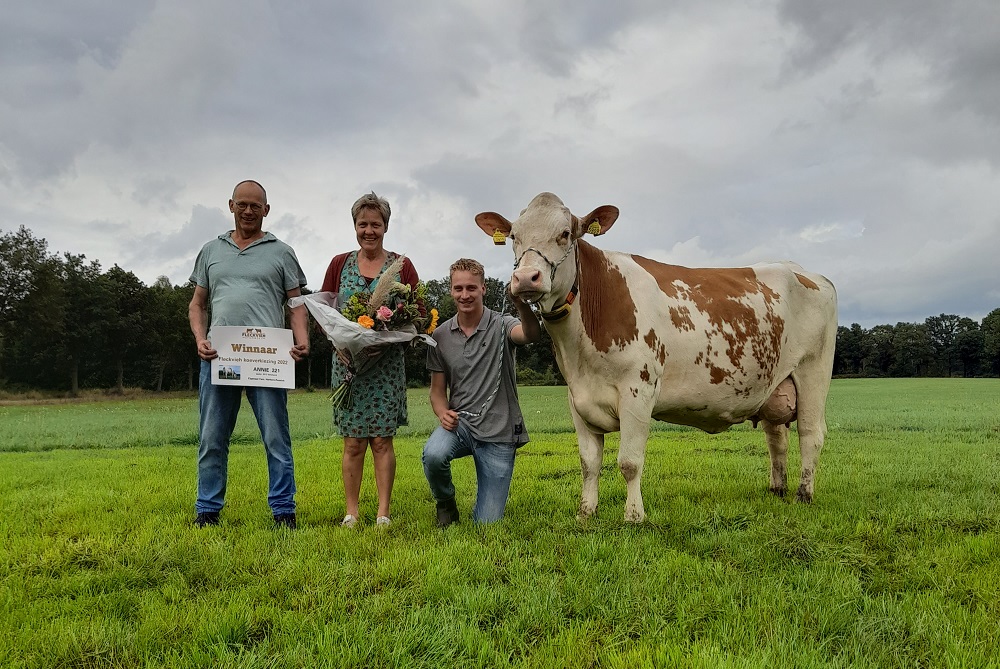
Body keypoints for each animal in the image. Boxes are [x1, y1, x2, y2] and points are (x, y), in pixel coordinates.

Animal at [476, 192, 836, 520]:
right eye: (514, 237)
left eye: (565, 233)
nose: (525, 278)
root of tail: (807, 272)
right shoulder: (577, 397)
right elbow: (589, 462)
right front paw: (586, 513)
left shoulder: (639, 389)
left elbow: (629, 462)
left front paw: (634, 516)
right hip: (775, 384)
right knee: (777, 437)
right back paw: (777, 489)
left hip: (813, 372)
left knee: (810, 433)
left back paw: (803, 495)